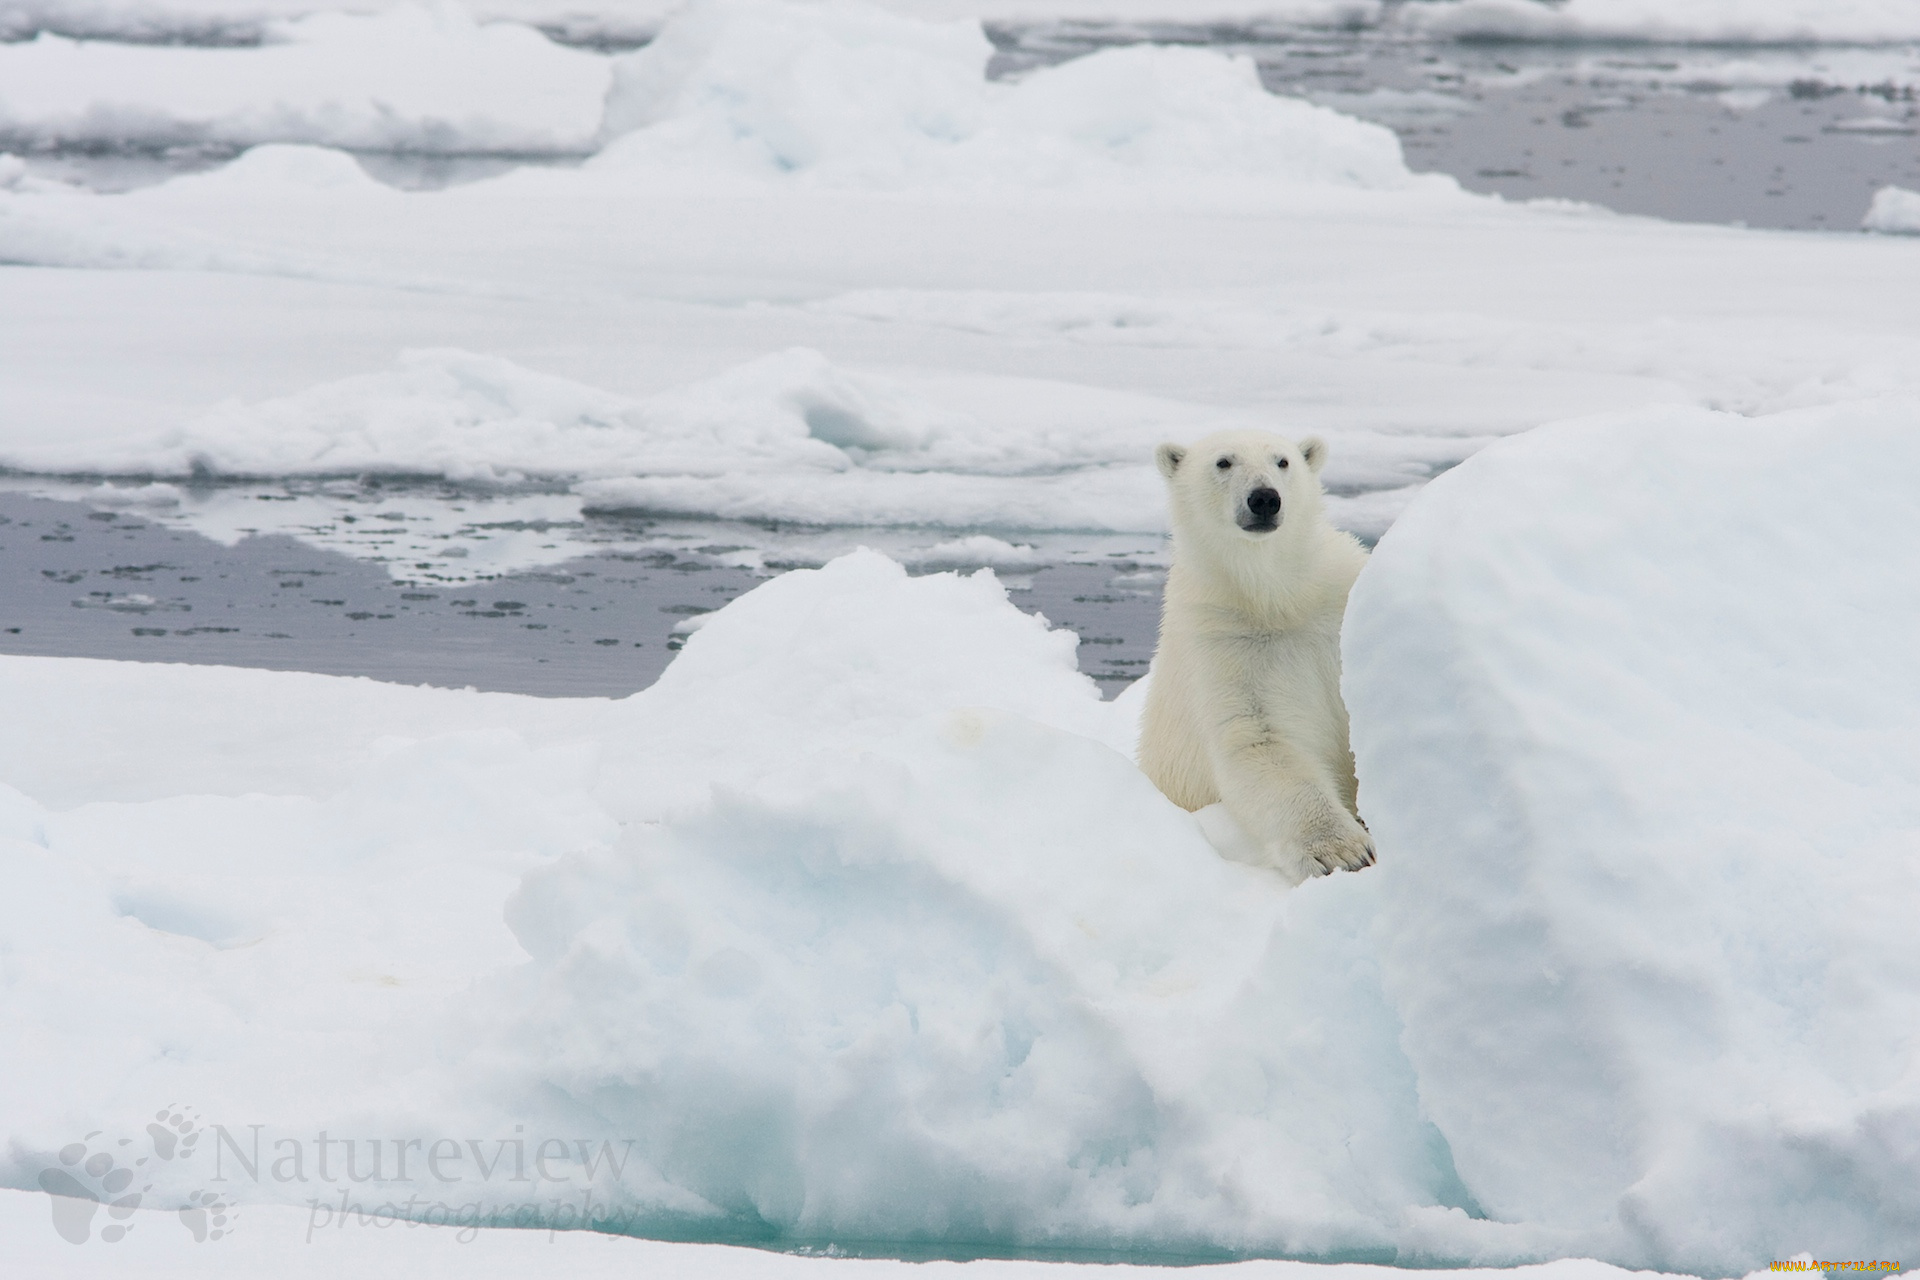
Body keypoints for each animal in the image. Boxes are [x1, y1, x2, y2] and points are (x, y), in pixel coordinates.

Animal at [1128, 429, 1374, 882]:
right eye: (1224, 462)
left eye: (1283, 461)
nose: (1264, 498)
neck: (1278, 598)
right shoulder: (1223, 641)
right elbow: (1260, 743)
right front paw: (1342, 852)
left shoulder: (1338, 599)